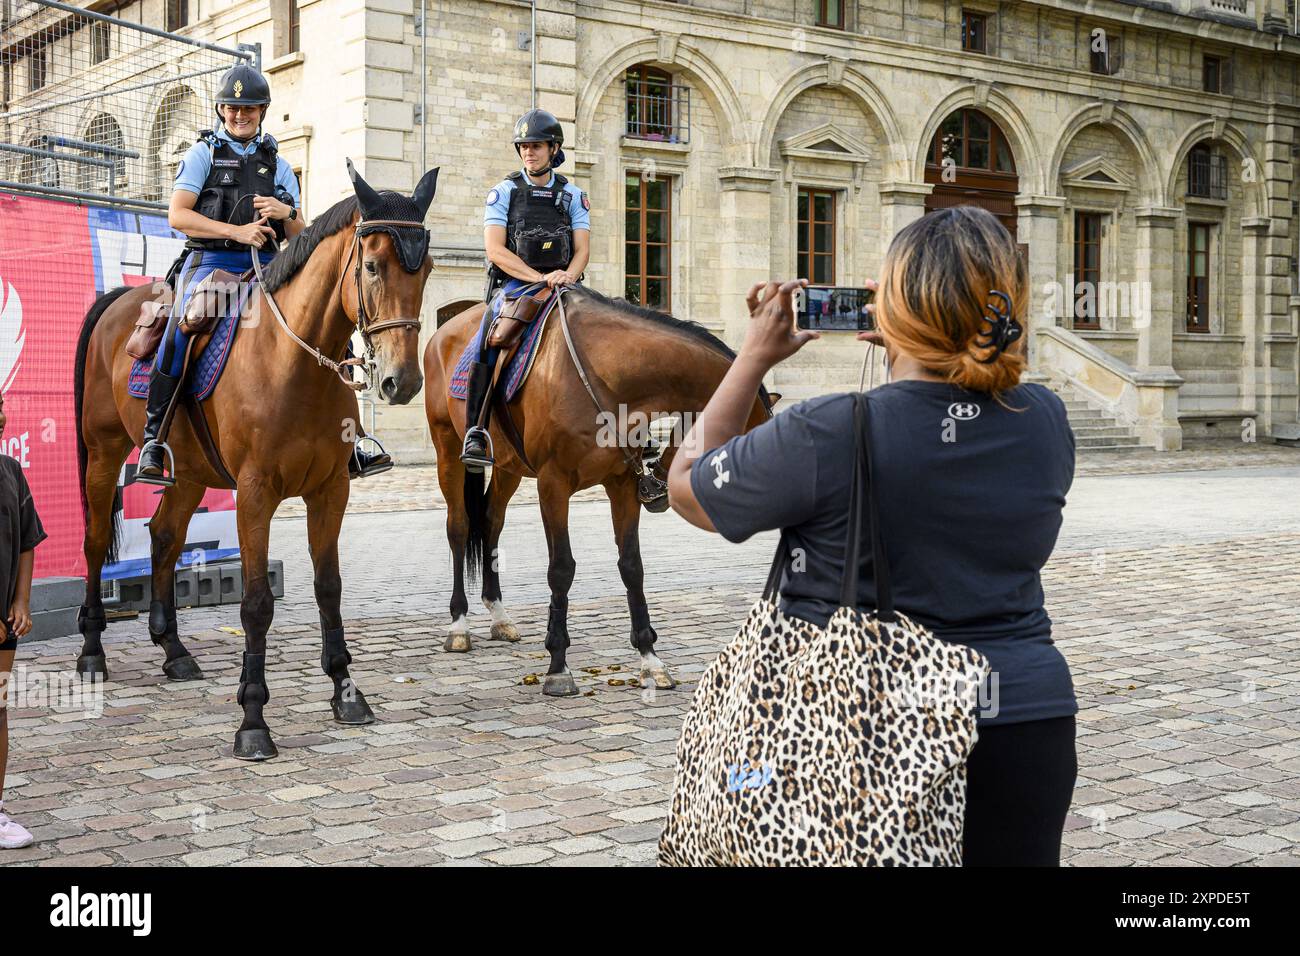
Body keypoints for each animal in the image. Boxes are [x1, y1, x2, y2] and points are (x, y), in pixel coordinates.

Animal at [73, 166, 439, 764]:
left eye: (426, 269)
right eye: (371, 266)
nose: (400, 381)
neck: (291, 362)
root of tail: (119, 300)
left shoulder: (330, 491)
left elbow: (328, 587)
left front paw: (346, 691)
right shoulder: (255, 494)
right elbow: (255, 604)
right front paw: (252, 719)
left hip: (190, 472)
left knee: (165, 535)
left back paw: (173, 649)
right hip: (103, 454)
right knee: (94, 539)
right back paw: (90, 652)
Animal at [423, 287, 769, 697]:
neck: (607, 380)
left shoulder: (622, 485)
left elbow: (632, 566)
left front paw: (650, 660)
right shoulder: (553, 485)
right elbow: (561, 569)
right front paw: (558, 666)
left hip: (508, 466)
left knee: (491, 522)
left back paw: (499, 616)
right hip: (448, 448)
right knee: (459, 527)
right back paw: (458, 625)